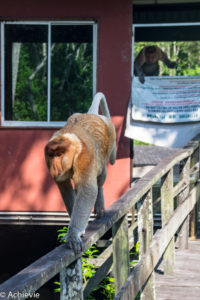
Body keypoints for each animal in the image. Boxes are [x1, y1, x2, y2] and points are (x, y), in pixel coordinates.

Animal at [43, 92, 115, 254]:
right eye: (51, 155)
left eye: (59, 155)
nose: (54, 168)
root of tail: (93, 115)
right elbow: (65, 189)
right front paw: (74, 233)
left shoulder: (84, 157)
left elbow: (87, 190)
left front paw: (73, 234)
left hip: (109, 140)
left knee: (100, 177)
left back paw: (100, 204)